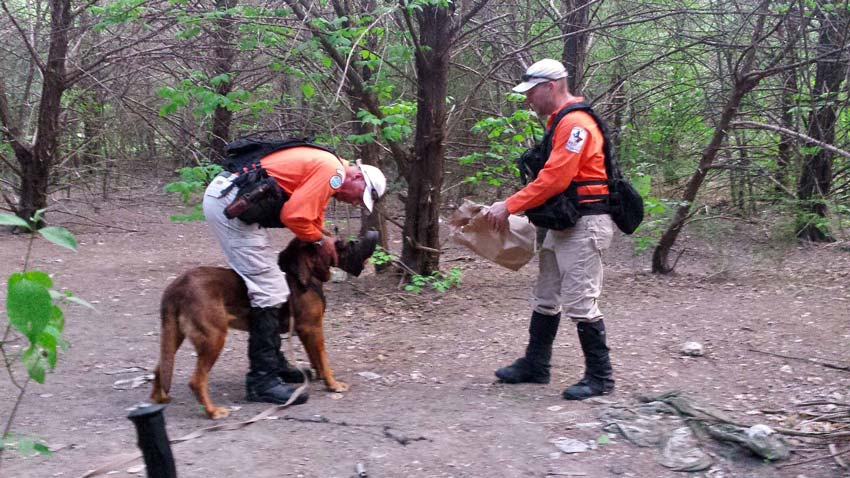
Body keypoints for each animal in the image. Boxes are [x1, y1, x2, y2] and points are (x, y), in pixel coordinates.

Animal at [150, 237, 374, 420]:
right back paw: (213, 412)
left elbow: (315, 357)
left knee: (161, 367)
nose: (356, 241)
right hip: (214, 338)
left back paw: (158, 399)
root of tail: (176, 288)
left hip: (173, 335)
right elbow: (323, 358)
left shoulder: (306, 330)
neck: (300, 274)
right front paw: (333, 384)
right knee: (196, 381)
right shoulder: (312, 327)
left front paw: (320, 376)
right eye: (337, 244)